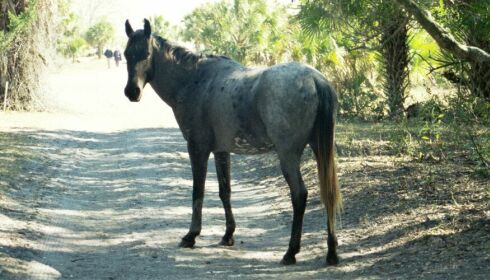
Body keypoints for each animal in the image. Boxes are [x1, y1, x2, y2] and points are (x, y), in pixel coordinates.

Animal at [124, 19, 342, 264]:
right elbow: (224, 191)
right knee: (328, 193)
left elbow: (198, 191)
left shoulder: (197, 149)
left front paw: (191, 236)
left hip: (288, 155)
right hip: (320, 149)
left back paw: (291, 252)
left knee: (299, 195)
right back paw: (331, 252)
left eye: (146, 53)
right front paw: (228, 235)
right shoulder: (221, 151)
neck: (195, 80)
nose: (132, 92)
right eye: (126, 54)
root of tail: (315, 79)